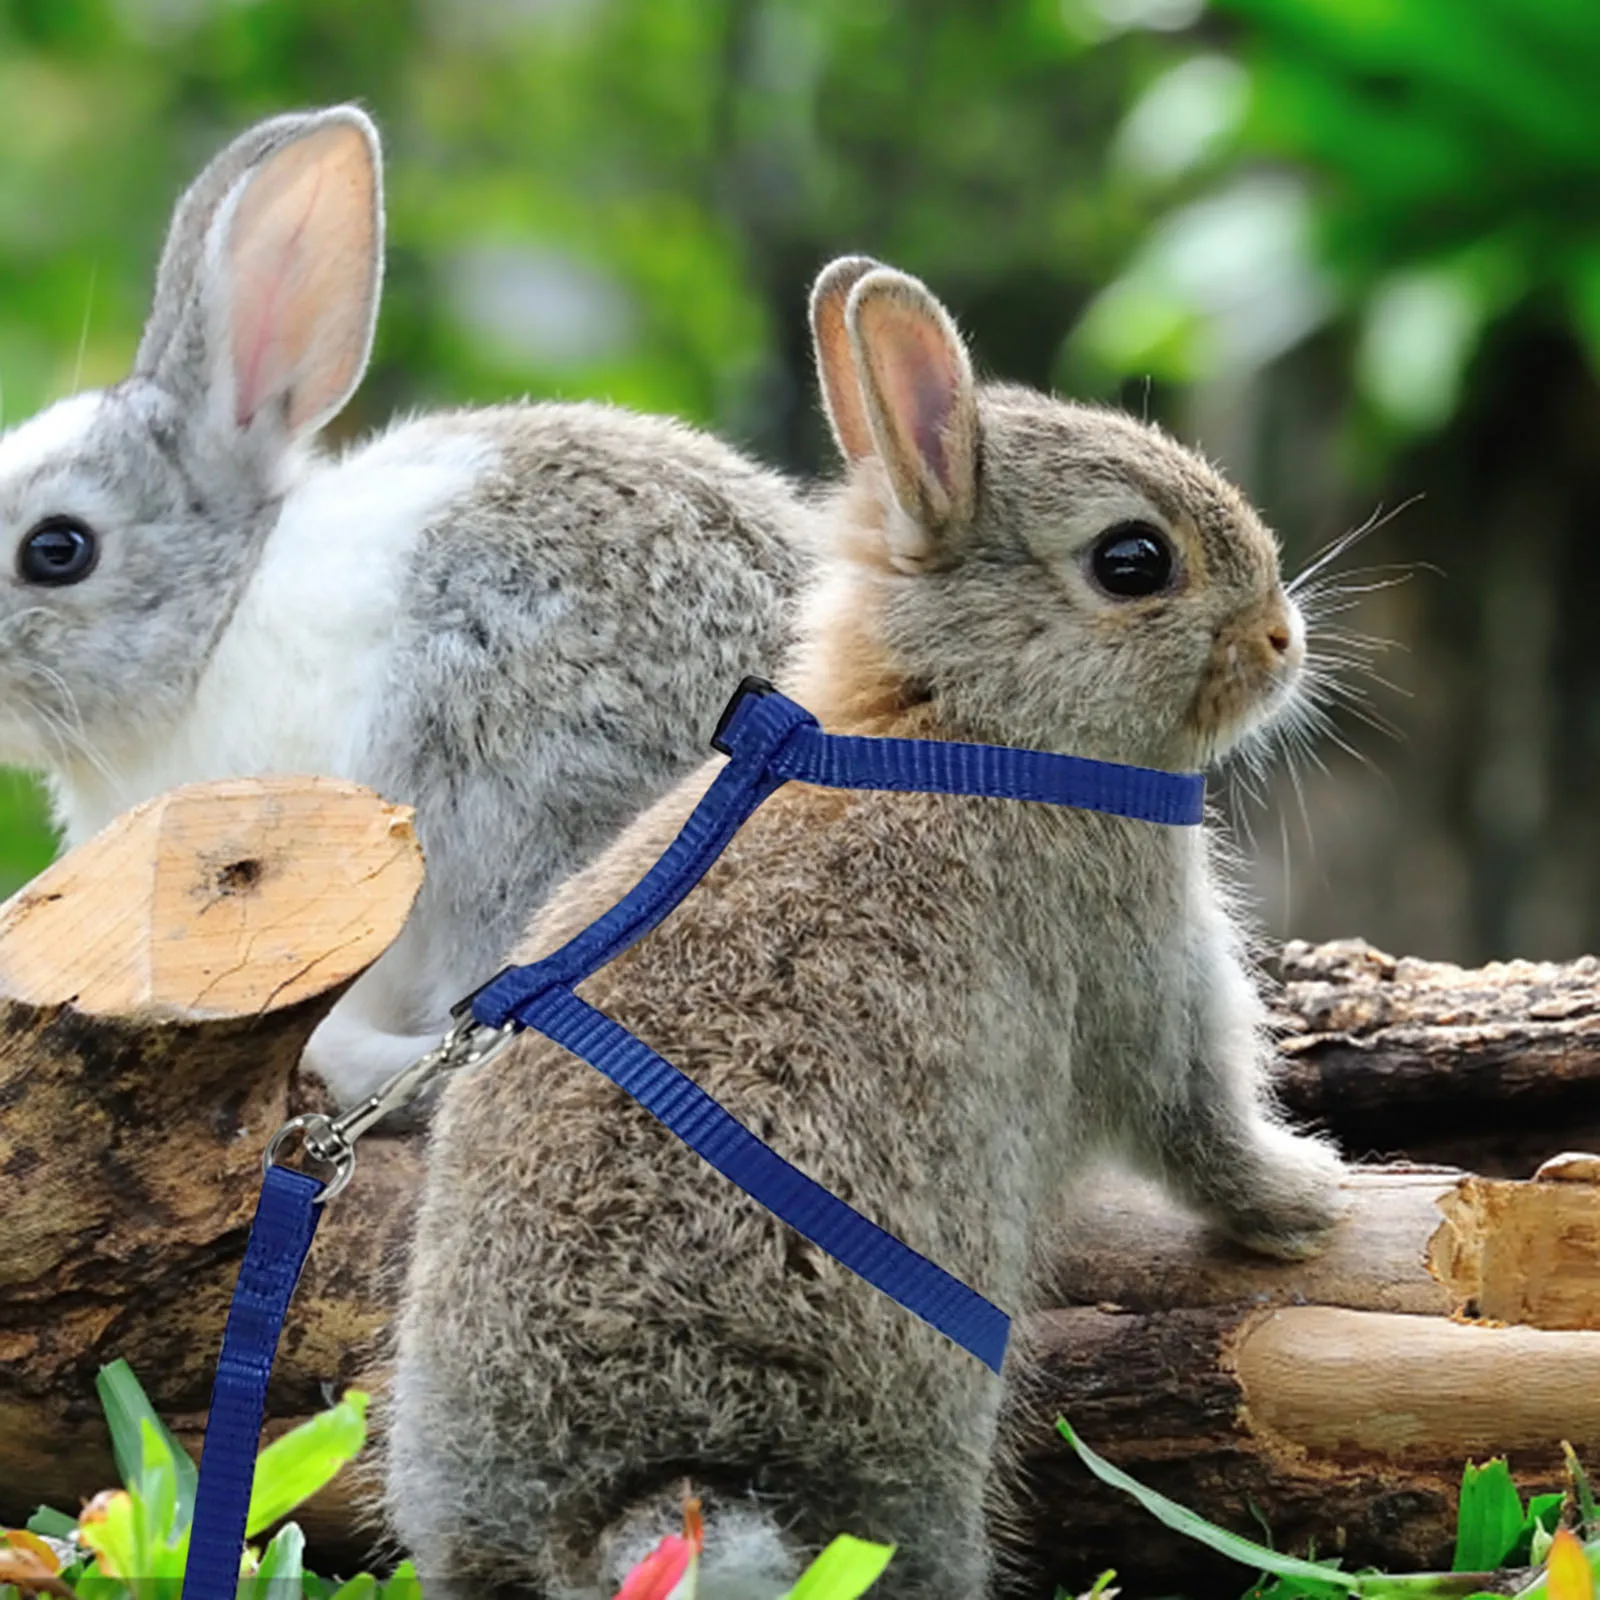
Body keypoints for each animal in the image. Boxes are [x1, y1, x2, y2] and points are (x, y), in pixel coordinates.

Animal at [386, 256, 1346, 1599]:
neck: (966, 724)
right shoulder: (1143, 969)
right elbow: (1197, 1124)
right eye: (1133, 561)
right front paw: (1310, 1200)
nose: (1279, 639)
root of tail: (618, 1502)